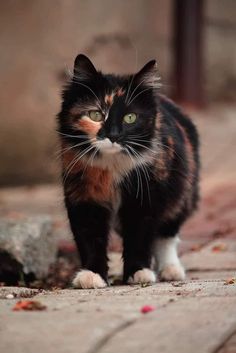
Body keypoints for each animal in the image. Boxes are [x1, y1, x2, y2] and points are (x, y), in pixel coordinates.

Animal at [56, 53, 199, 288]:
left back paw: (171, 270)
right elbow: (90, 239)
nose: (113, 135)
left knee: (167, 236)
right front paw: (92, 276)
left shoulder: (146, 199)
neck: (112, 167)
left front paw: (139, 273)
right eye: (95, 115)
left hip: (180, 196)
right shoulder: (84, 197)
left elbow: (140, 237)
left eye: (130, 118)